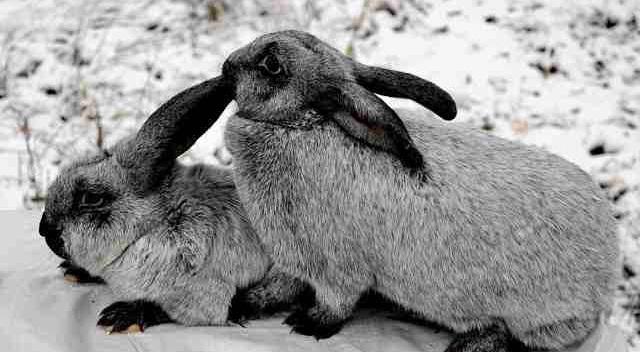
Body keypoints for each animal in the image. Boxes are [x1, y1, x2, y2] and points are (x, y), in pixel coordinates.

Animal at [38, 77, 310, 332]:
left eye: (92, 199)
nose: (43, 229)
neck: (154, 224)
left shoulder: (205, 300)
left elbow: (168, 310)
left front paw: (121, 316)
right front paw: (74, 270)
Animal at [126, 31, 620, 352]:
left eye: (272, 66)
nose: (226, 65)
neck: (303, 126)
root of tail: (608, 270)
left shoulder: (334, 266)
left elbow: (335, 301)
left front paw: (308, 325)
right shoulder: (292, 257)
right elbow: (281, 284)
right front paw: (249, 302)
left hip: (537, 316)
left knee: (518, 337)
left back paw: (469, 345)